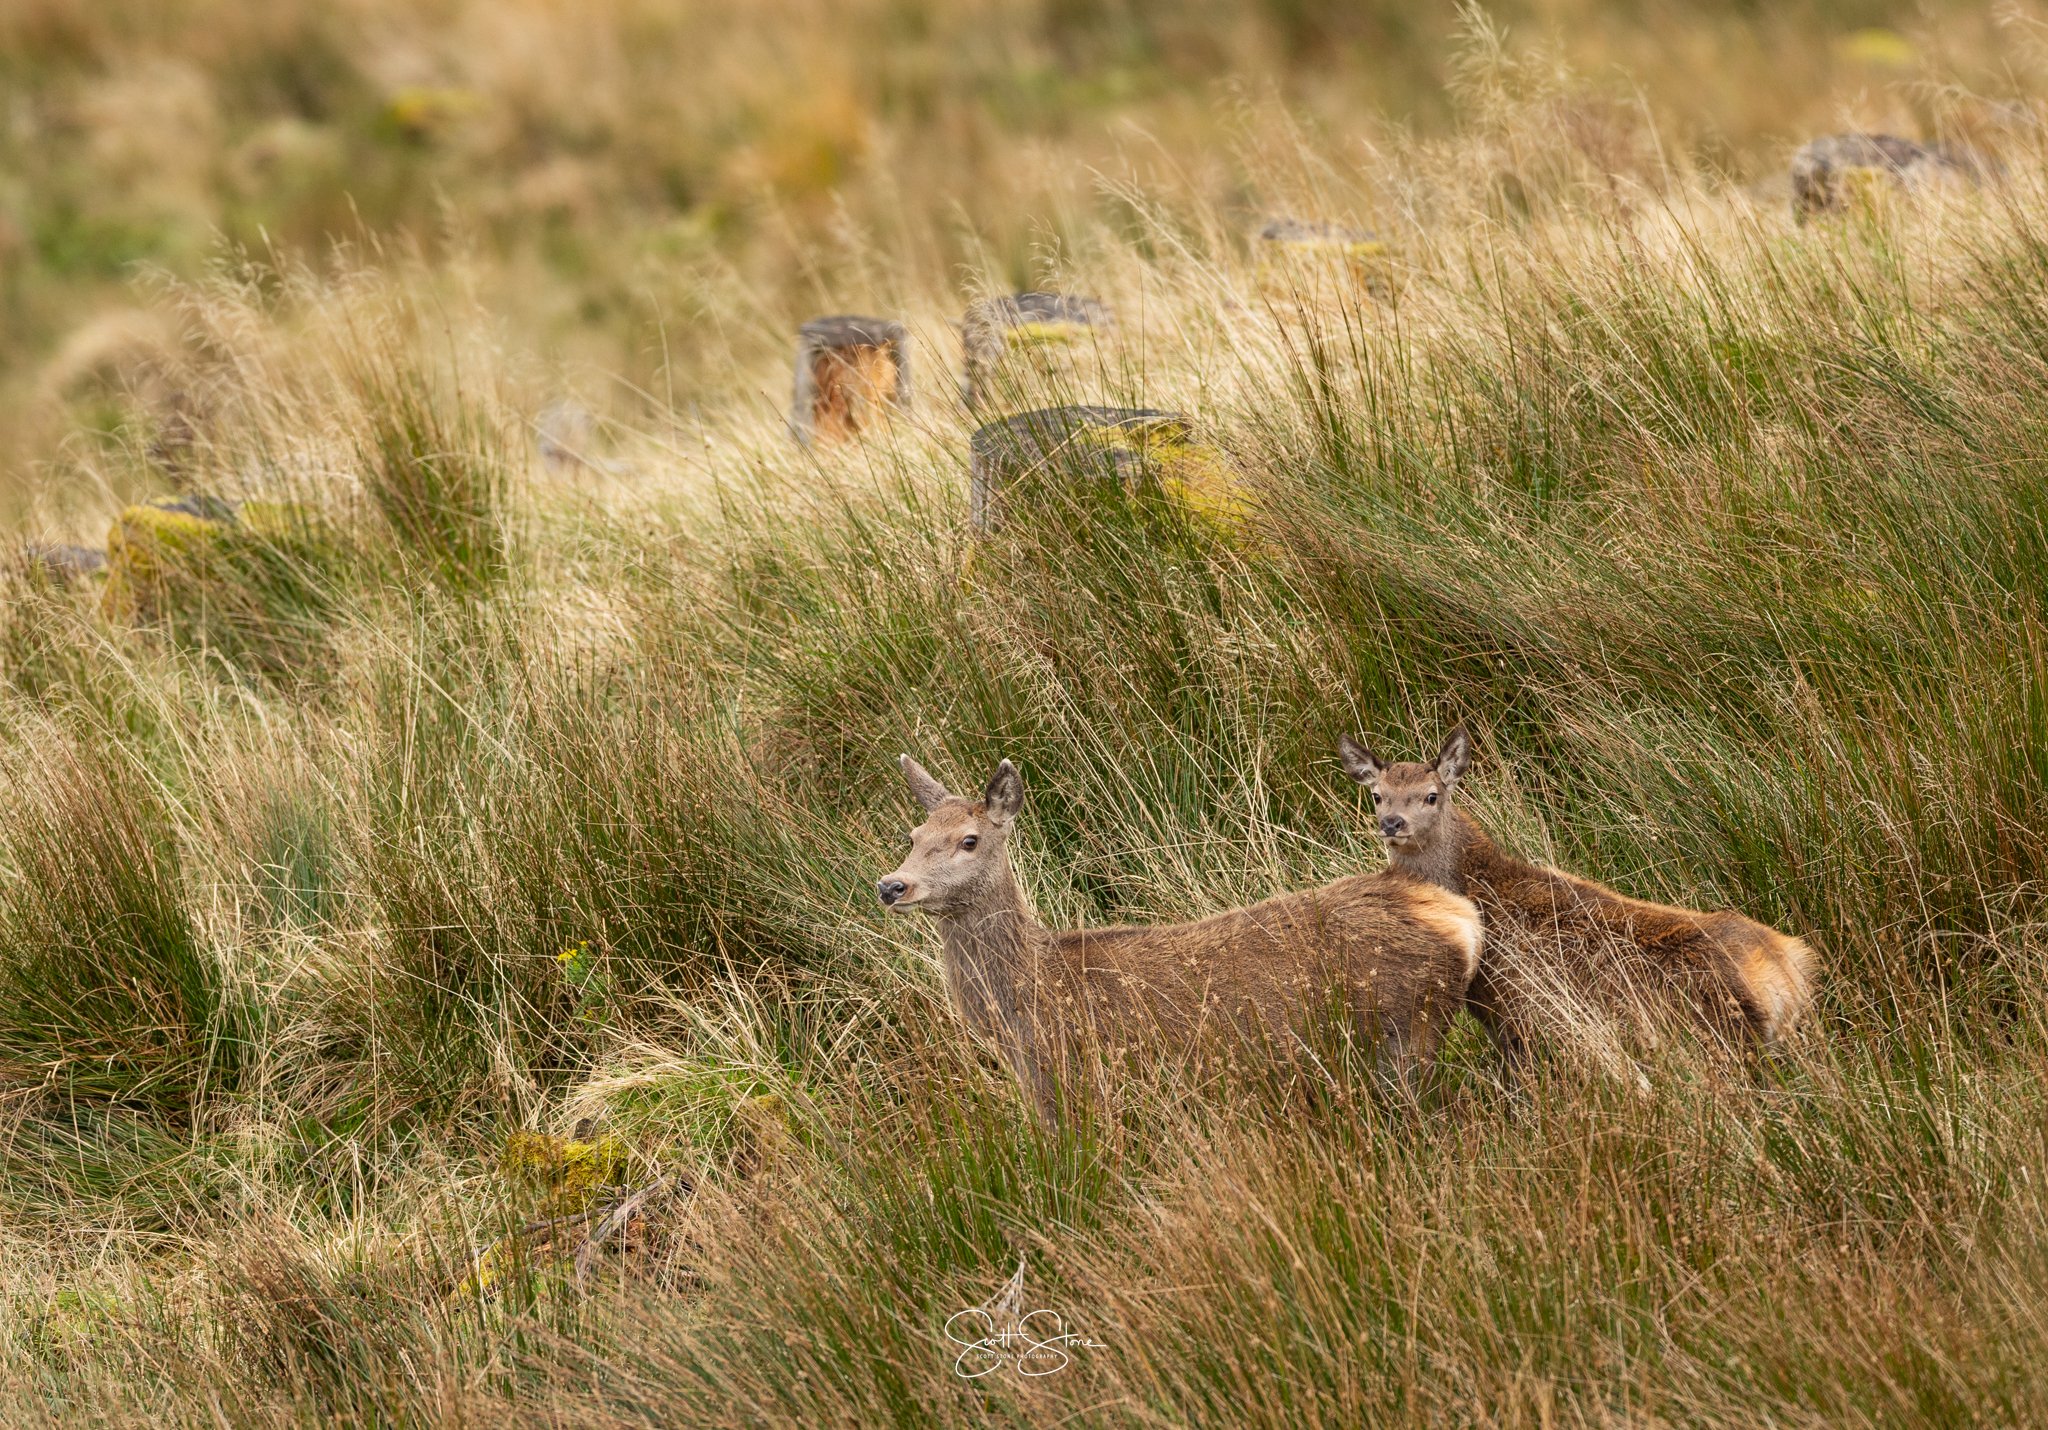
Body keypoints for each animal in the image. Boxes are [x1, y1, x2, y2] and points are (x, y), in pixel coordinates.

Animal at [877, 754, 1484, 1125]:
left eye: (969, 840)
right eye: (912, 835)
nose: (891, 885)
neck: (1028, 999)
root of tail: (1460, 918)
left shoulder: (1077, 1089)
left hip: (1407, 1031)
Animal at [1336, 726, 1815, 1074]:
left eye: (1431, 796)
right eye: (1377, 795)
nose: (1392, 823)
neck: (1479, 891)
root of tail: (1786, 972)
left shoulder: (1515, 1010)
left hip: (1723, 1041)